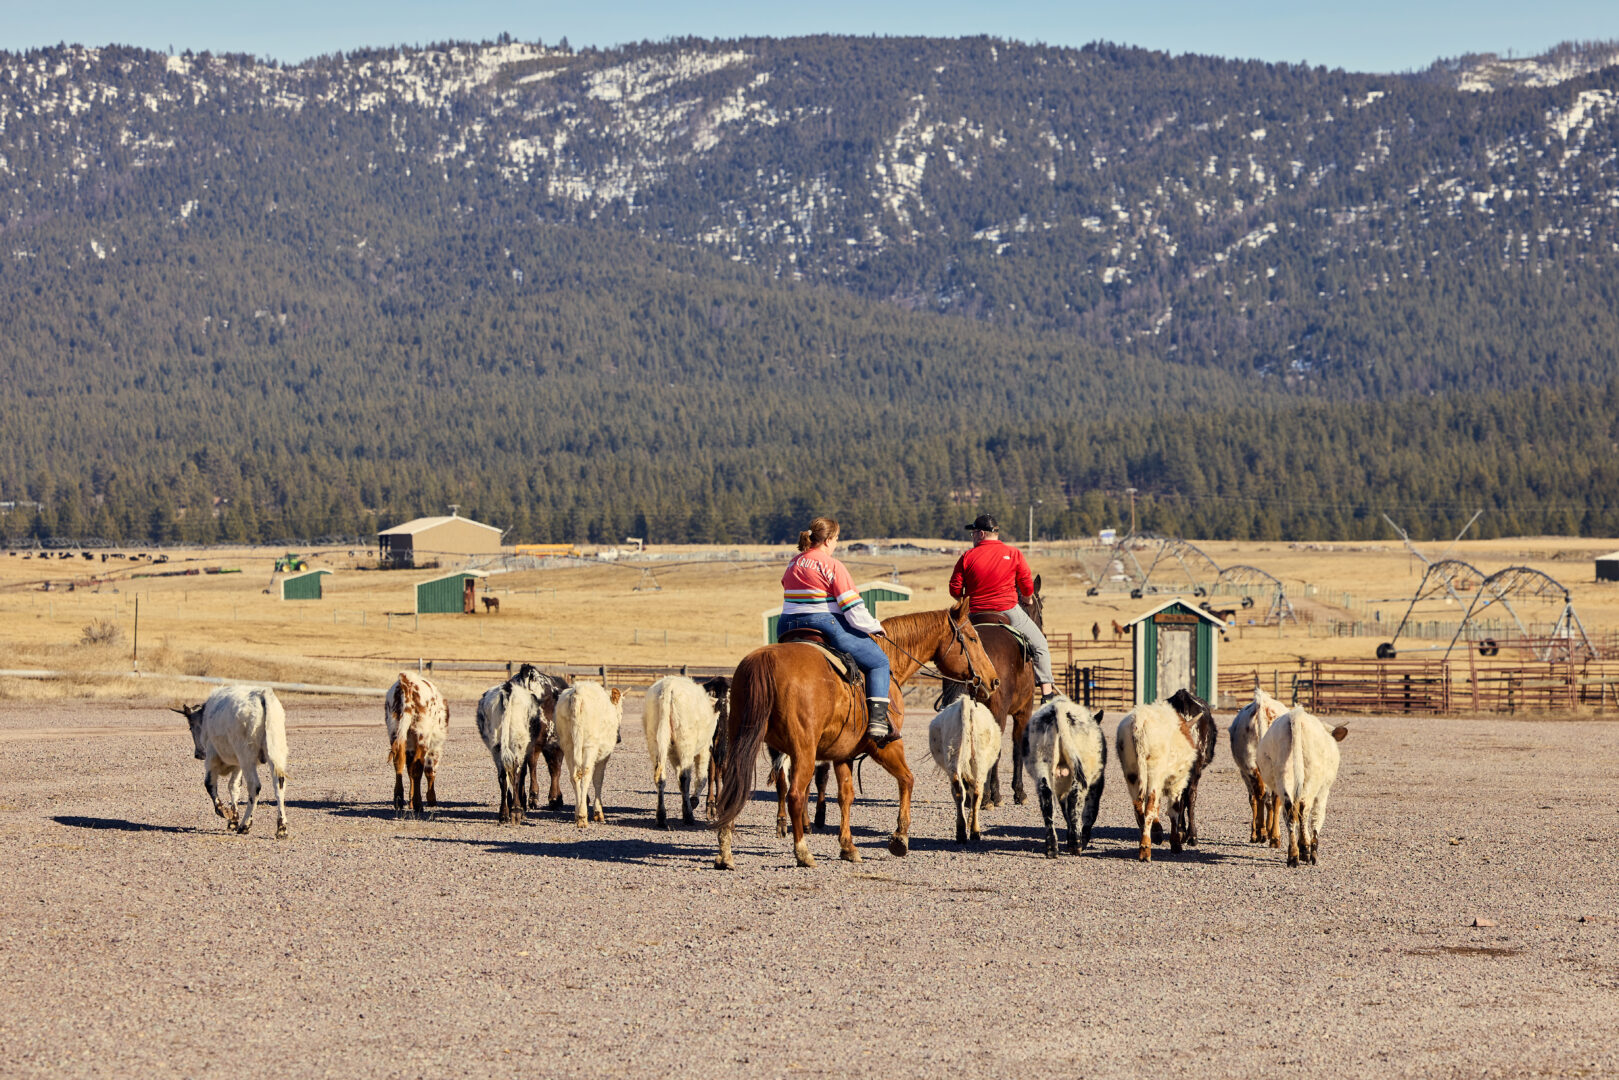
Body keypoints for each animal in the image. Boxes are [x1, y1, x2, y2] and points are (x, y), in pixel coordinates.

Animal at [713, 595, 1000, 869]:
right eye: (972, 638)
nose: (993, 680)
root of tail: (766, 660)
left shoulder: (843, 754)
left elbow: (846, 796)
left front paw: (848, 847)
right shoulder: (886, 746)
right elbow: (907, 780)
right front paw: (900, 838)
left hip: (742, 741)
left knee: (733, 789)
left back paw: (725, 853)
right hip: (802, 751)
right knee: (795, 794)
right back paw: (803, 852)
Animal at [939, 575, 1046, 807]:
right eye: (1041, 607)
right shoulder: (1023, 711)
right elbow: (1016, 749)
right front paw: (1016, 792)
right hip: (998, 711)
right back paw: (986, 795)